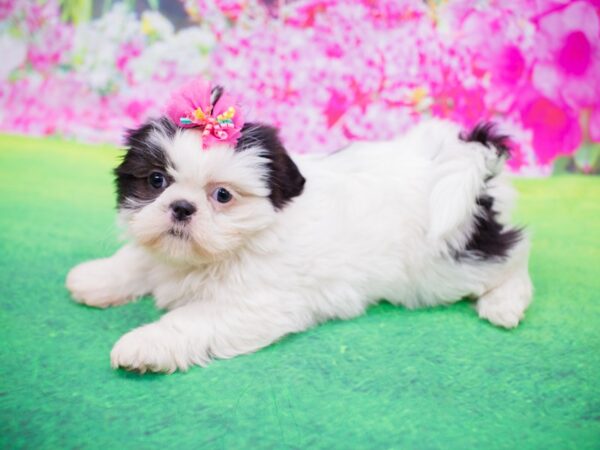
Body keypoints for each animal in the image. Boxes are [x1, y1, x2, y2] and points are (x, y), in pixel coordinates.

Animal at [67, 83, 536, 372]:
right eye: (156, 181)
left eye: (223, 196)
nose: (181, 208)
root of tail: (468, 156)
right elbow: (138, 260)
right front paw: (97, 277)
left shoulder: (251, 304)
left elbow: (191, 320)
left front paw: (144, 343)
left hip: (445, 263)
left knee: (514, 256)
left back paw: (504, 303)